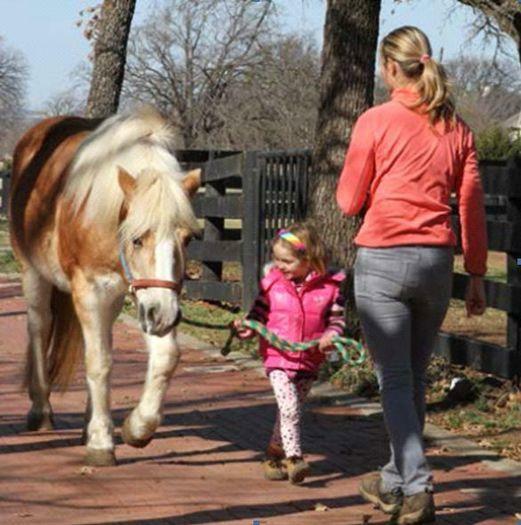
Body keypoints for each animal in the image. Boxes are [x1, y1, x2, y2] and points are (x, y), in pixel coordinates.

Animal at [9, 105, 203, 462]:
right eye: (137, 239)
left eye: (187, 239)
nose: (166, 315)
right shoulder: (91, 291)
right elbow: (99, 363)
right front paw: (100, 442)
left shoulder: (145, 296)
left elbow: (164, 357)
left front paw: (136, 428)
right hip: (33, 274)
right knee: (40, 327)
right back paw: (41, 411)